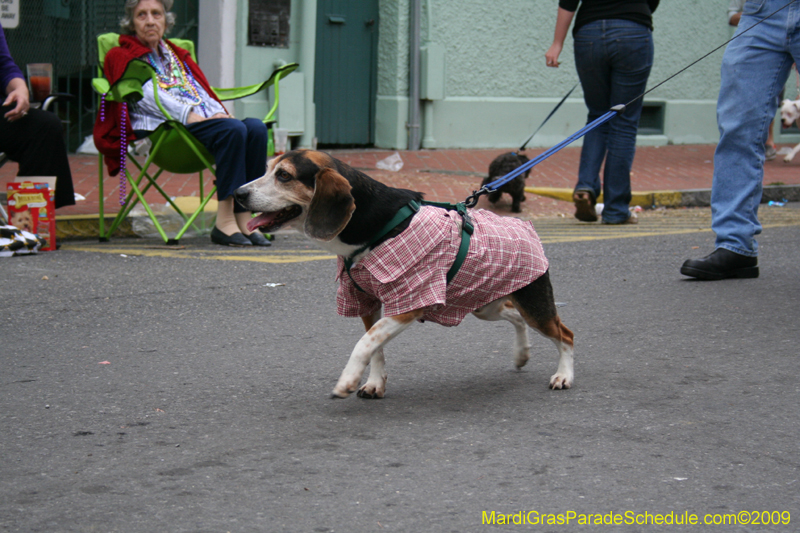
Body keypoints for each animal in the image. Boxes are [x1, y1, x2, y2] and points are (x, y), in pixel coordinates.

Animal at [233, 150, 576, 400]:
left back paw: (563, 376)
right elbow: (375, 346)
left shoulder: (410, 302)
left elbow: (365, 343)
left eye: (284, 175)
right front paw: (374, 383)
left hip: (534, 304)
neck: (375, 228)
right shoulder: (367, 301)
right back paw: (521, 355)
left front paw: (347, 380)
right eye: (267, 169)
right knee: (515, 316)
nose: (237, 193)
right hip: (485, 302)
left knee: (565, 335)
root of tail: (526, 228)